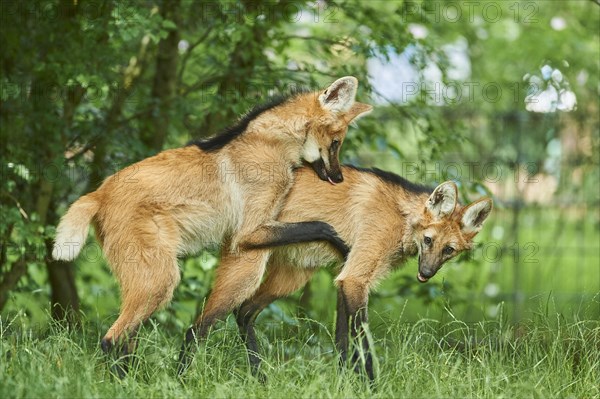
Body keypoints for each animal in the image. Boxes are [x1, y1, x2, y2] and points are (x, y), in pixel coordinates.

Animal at [52, 77, 370, 376]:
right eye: (336, 142)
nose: (339, 178)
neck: (276, 143)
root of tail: (99, 192)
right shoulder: (249, 232)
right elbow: (321, 225)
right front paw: (344, 245)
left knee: (128, 340)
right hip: (160, 279)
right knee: (112, 339)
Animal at [234, 166, 492, 382]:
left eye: (448, 250)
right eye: (428, 240)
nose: (426, 272)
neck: (402, 217)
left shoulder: (344, 276)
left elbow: (343, 342)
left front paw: (343, 382)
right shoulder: (354, 279)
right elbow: (363, 343)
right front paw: (371, 385)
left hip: (292, 276)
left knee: (244, 311)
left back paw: (258, 375)